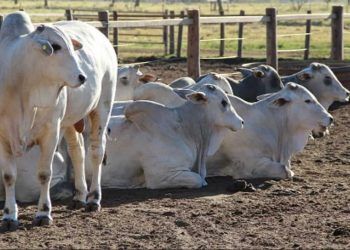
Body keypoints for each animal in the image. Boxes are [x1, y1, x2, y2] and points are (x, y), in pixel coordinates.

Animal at [0, 10, 117, 231]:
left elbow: (44, 173)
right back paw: (79, 195)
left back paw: (93, 198)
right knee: (77, 151)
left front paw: (44, 212)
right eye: (55, 47)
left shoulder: (51, 132)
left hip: (102, 108)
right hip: (69, 122)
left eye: (71, 47)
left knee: (96, 152)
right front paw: (9, 216)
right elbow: (9, 176)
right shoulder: (3, 137)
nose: (82, 77)